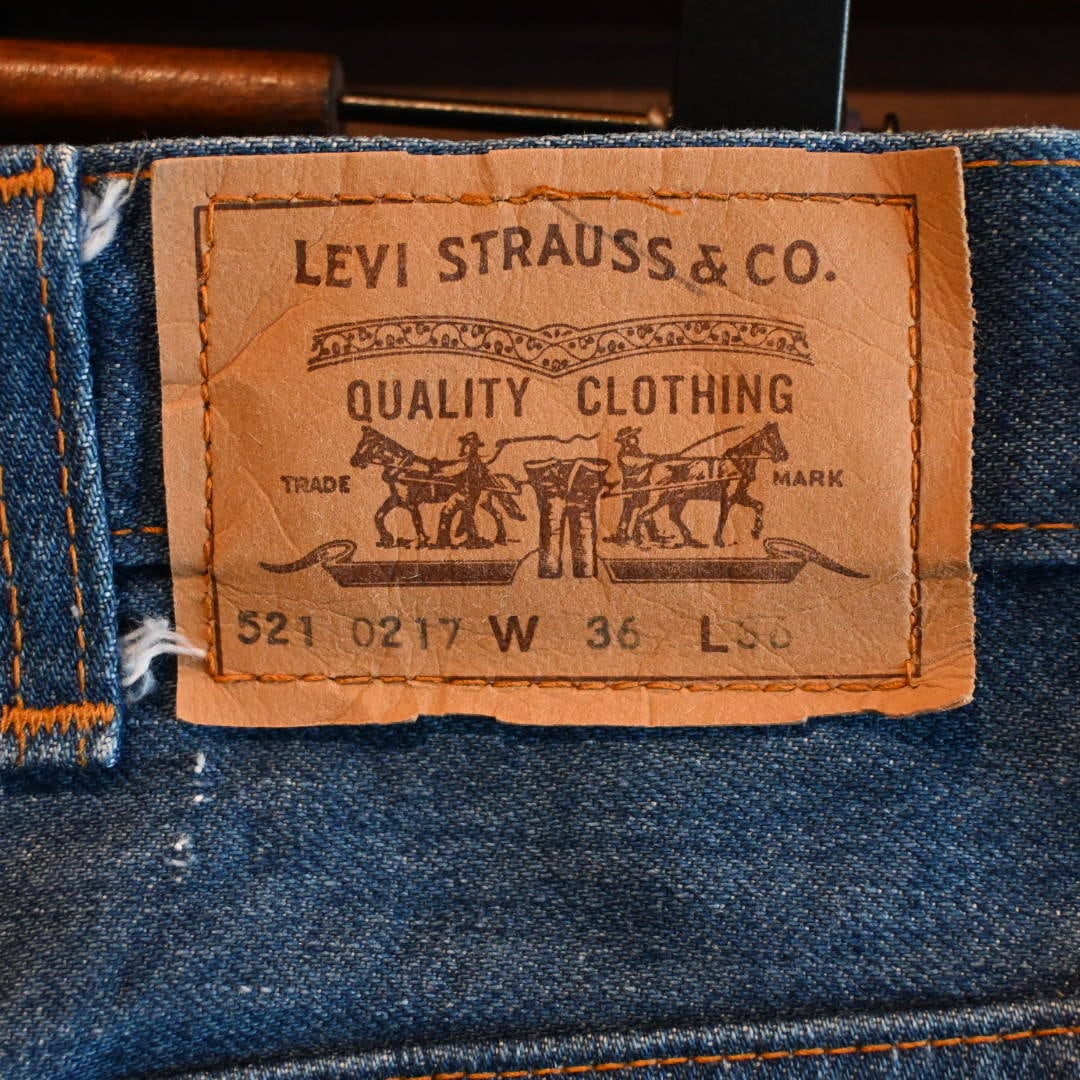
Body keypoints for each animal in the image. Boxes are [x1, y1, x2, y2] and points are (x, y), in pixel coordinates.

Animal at [350, 425, 525, 549]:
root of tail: (484, 468)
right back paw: (498, 539)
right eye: (359, 443)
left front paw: (422, 542)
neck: (403, 468)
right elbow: (378, 516)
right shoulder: (396, 499)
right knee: (497, 514)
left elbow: (417, 522)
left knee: (480, 515)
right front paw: (387, 539)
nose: (354, 461)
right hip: (483, 500)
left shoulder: (411, 503)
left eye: (366, 444)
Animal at [624, 422, 789, 548]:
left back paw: (690, 539)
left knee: (671, 516)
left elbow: (759, 506)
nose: (784, 455)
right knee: (642, 514)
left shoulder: (739, 495)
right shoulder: (728, 499)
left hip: (678, 498)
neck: (737, 463)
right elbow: (723, 518)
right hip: (659, 497)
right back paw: (638, 541)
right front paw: (719, 541)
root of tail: (653, 465)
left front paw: (755, 531)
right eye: (773, 437)